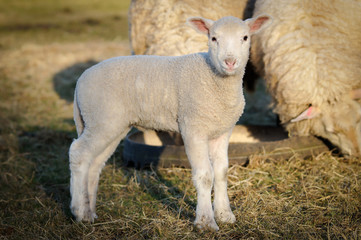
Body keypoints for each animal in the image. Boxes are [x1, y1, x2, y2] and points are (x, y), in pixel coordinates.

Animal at [68, 15, 270, 231]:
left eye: (245, 37)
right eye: (214, 38)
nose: (230, 62)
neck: (213, 78)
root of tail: (80, 81)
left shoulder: (223, 131)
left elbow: (222, 173)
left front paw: (225, 215)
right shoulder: (192, 128)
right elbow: (205, 175)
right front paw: (205, 221)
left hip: (111, 124)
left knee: (94, 163)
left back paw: (89, 211)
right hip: (101, 118)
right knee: (79, 153)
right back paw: (79, 211)